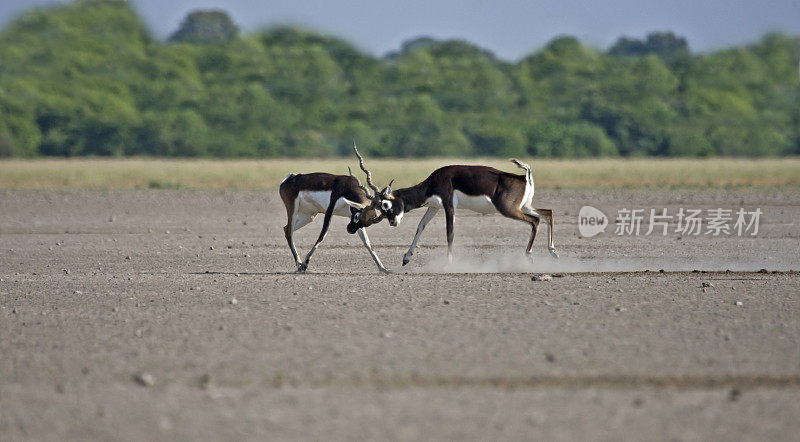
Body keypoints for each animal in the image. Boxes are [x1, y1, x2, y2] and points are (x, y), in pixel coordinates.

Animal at [280, 142, 392, 272]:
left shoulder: (350, 216)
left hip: (309, 216)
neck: (347, 188)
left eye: (367, 223)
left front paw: (383, 268)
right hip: (292, 209)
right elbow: (323, 235)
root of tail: (290, 178)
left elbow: (368, 243)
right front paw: (305, 264)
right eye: (357, 216)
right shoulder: (330, 210)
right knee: (289, 232)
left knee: (286, 229)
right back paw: (299, 264)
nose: (349, 230)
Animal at [374, 160, 556, 266]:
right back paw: (553, 252)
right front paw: (406, 258)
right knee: (548, 214)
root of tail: (524, 177)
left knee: (535, 221)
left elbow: (450, 233)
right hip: (524, 206)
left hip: (509, 209)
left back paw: (529, 255)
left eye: (386, 205)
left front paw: (448, 265)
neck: (433, 183)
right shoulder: (434, 207)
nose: (392, 223)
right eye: (381, 209)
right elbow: (420, 226)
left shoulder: (449, 207)